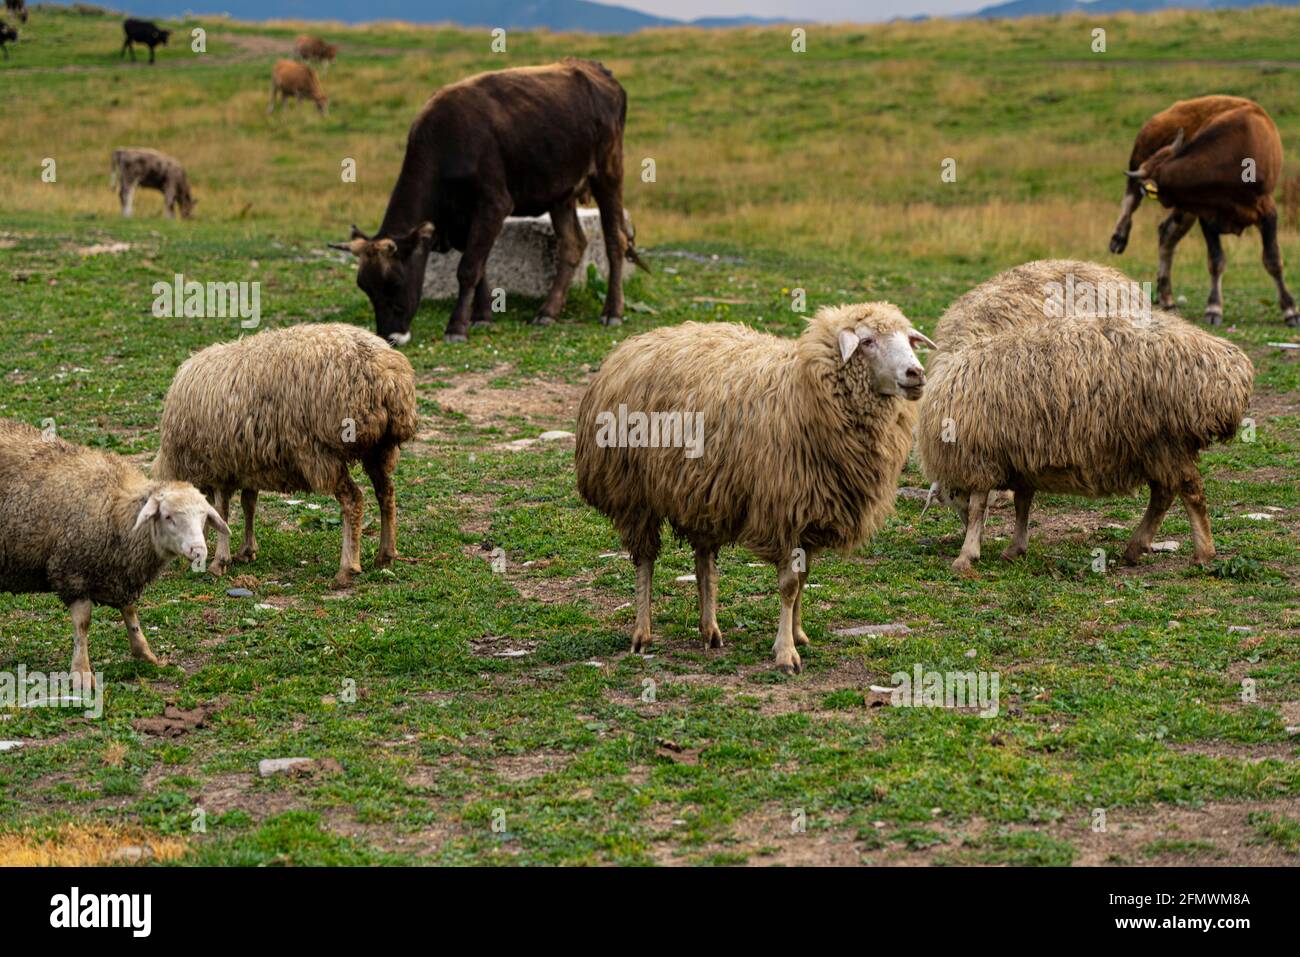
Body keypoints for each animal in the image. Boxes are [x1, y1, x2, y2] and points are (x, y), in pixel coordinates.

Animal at [0, 418, 228, 685]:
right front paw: (81, 672)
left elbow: (130, 612)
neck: (116, 508)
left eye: (203, 517)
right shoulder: (73, 571)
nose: (198, 550)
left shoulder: (120, 571)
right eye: (168, 517)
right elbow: (83, 624)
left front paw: (144, 652)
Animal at [153, 323, 419, 588]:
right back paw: (385, 555)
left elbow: (222, 511)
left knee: (353, 500)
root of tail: (385, 376)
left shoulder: (218, 466)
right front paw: (246, 550)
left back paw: (347, 568)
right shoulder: (247, 464)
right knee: (386, 492)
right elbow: (248, 503)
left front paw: (220, 561)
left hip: (320, 452)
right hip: (379, 448)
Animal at [575, 304, 935, 673]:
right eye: (867, 341)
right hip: (634, 494)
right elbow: (789, 586)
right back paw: (642, 634)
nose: (916, 373)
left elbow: (803, 579)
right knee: (645, 559)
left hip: (700, 490)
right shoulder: (784, 510)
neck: (803, 389)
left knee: (703, 561)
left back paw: (709, 629)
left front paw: (798, 633)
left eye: (909, 340)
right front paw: (785, 652)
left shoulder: (811, 511)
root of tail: (633, 343)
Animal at [916, 259, 1253, 573]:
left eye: (950, 498)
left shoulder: (980, 456)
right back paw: (1136, 547)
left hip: (1166, 439)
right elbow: (1023, 503)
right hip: (1156, 446)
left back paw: (1203, 553)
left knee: (1190, 491)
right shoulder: (1021, 456)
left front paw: (967, 554)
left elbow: (978, 506)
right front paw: (1014, 548)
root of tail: (1232, 371)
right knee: (1164, 493)